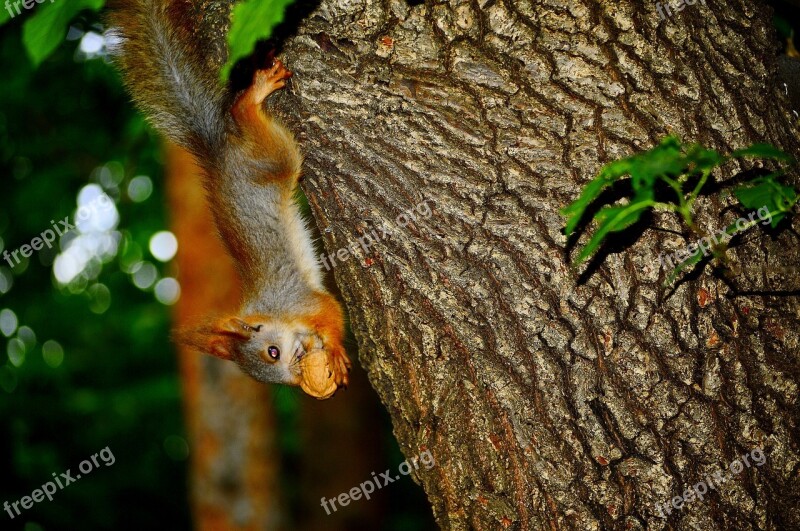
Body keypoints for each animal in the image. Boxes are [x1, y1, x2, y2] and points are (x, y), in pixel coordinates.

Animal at [108, 0, 348, 394]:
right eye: (274, 370)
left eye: (271, 352)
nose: (297, 371)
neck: (276, 314)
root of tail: (218, 153)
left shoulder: (301, 301)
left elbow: (331, 311)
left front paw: (337, 350)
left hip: (275, 158)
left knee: (242, 114)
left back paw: (252, 96)